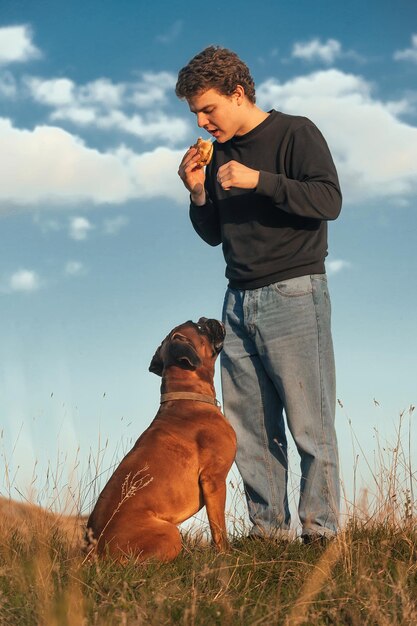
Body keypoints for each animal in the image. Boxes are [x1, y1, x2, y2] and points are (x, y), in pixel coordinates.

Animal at [86, 316, 236, 560]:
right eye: (200, 327)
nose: (208, 319)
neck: (187, 395)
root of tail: (95, 550)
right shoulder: (214, 480)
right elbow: (219, 530)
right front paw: (225, 555)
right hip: (170, 533)